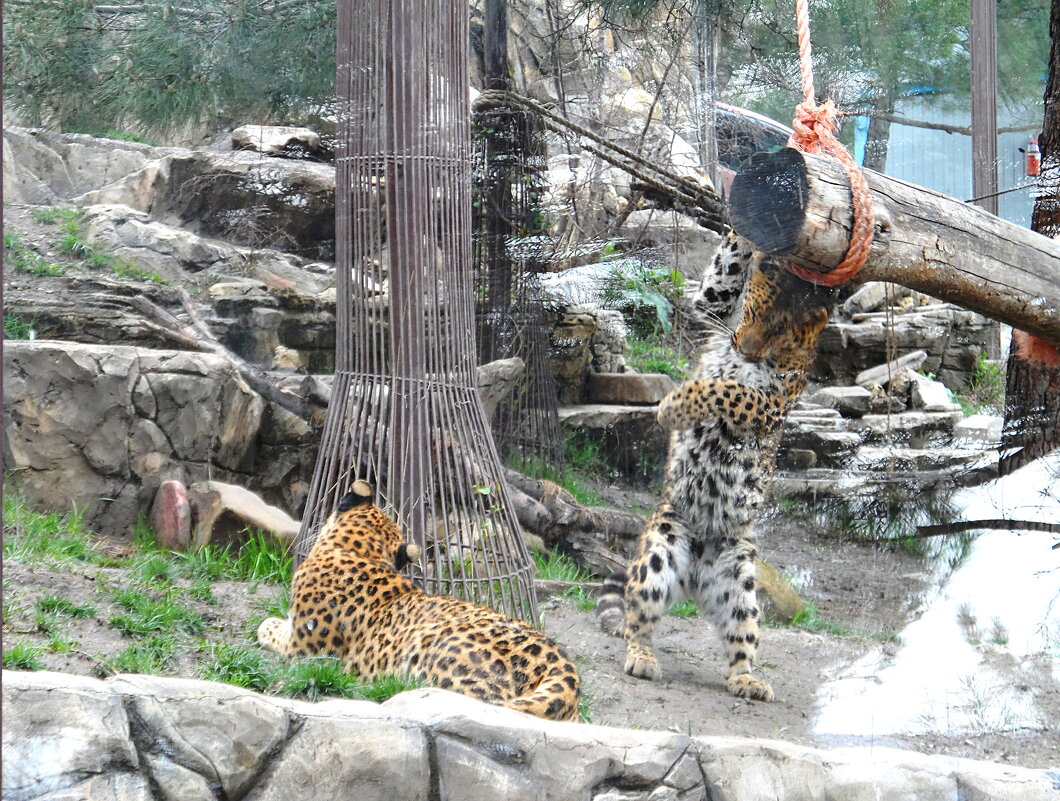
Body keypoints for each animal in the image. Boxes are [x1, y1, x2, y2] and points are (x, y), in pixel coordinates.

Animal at [597, 232, 835, 699]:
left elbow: (725, 389)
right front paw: (741, 235)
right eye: (752, 313)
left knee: (741, 638)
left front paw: (673, 407)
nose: (744, 347)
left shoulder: (769, 406)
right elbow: (720, 280)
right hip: (660, 552)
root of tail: (695, 576)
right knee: (638, 620)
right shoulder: (714, 309)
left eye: (779, 332)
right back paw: (641, 657)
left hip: (741, 585)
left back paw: (748, 681)